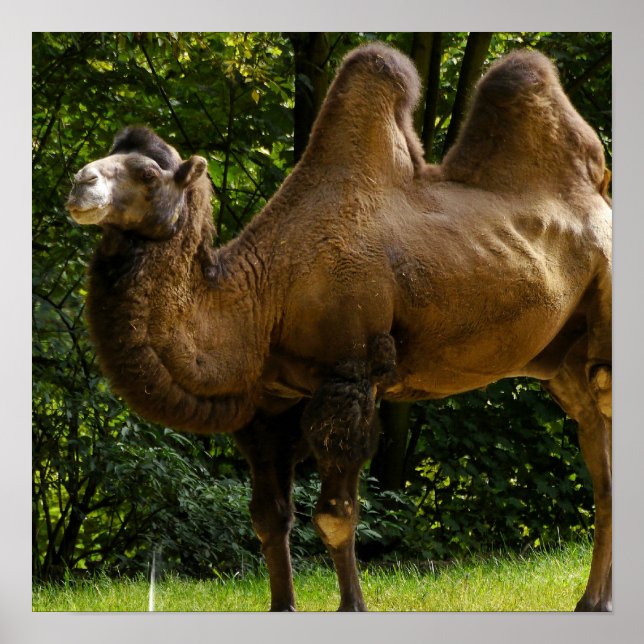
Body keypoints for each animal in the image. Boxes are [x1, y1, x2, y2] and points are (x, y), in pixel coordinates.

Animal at [65, 43, 612, 612]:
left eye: (148, 176)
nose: (79, 181)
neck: (265, 294)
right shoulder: (269, 405)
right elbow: (268, 519)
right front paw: (282, 607)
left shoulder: (349, 375)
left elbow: (334, 516)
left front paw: (353, 606)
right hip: (565, 364)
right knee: (600, 459)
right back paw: (594, 601)